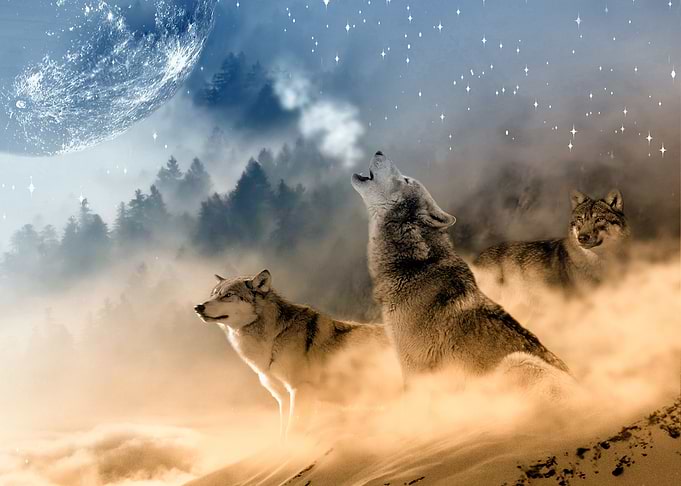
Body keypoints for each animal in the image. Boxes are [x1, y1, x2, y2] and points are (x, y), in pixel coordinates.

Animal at [194, 269, 388, 439]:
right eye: (213, 294)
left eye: (228, 295)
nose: (198, 307)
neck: (273, 338)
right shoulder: (283, 398)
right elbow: (283, 434)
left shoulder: (300, 390)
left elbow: (293, 432)